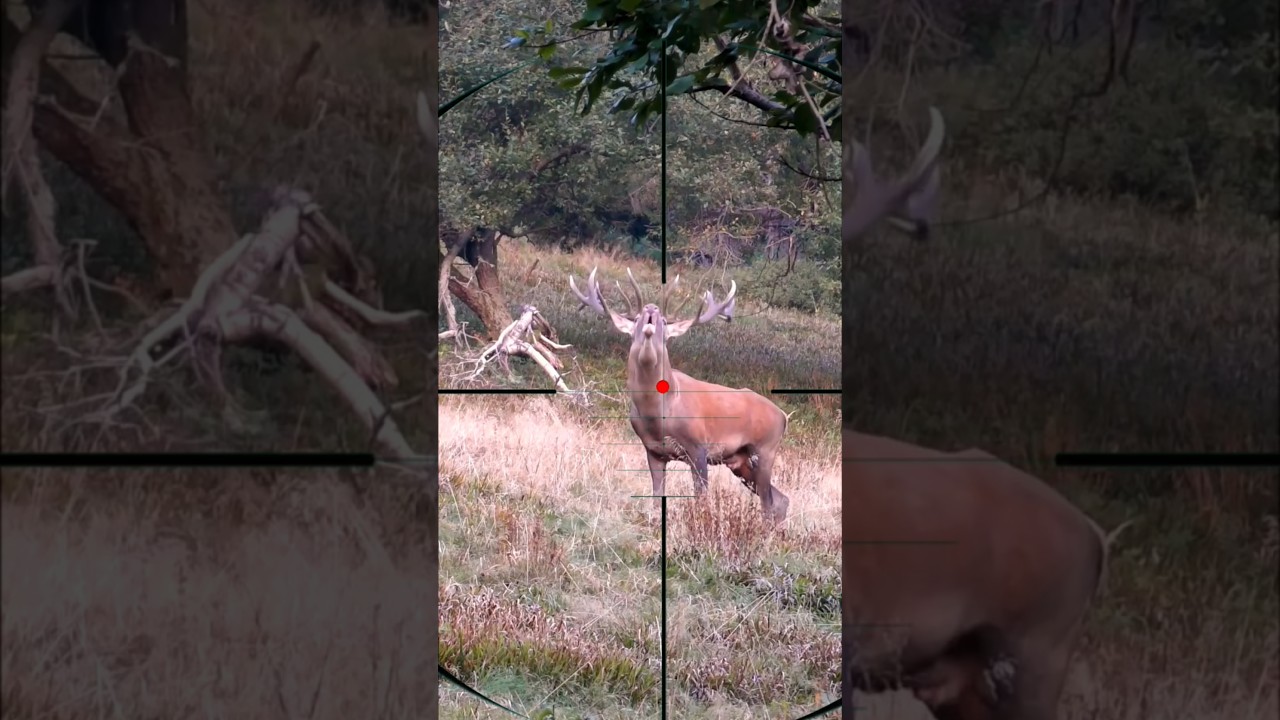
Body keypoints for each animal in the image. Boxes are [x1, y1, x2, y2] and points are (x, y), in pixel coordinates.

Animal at [567, 268, 792, 523]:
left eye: (665, 322)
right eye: (637, 319)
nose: (651, 308)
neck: (660, 414)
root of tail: (783, 416)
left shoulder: (699, 446)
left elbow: (701, 499)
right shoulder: (653, 450)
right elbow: (656, 496)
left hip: (765, 449)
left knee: (768, 501)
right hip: (740, 462)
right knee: (780, 499)